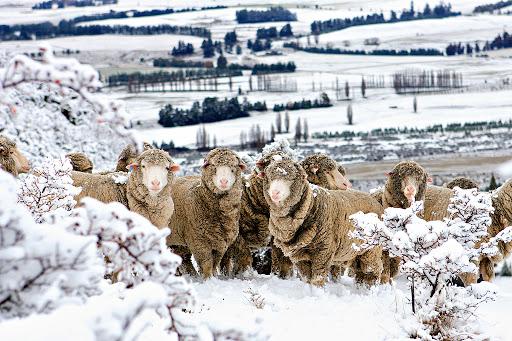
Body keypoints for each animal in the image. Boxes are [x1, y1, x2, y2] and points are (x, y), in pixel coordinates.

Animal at [168, 147, 246, 278]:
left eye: (233, 167)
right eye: (213, 165)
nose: (224, 181)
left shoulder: (221, 243)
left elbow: (215, 262)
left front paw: (214, 275)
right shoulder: (198, 241)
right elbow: (207, 263)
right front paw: (208, 278)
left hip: (178, 238)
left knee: (182, 257)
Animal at [262, 158, 382, 286]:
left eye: (292, 179)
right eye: (269, 178)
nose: (275, 193)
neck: (312, 203)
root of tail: (374, 200)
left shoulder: (324, 250)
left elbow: (317, 278)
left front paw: (317, 289)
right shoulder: (299, 256)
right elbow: (307, 278)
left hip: (372, 250)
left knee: (372, 271)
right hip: (354, 254)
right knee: (361, 272)